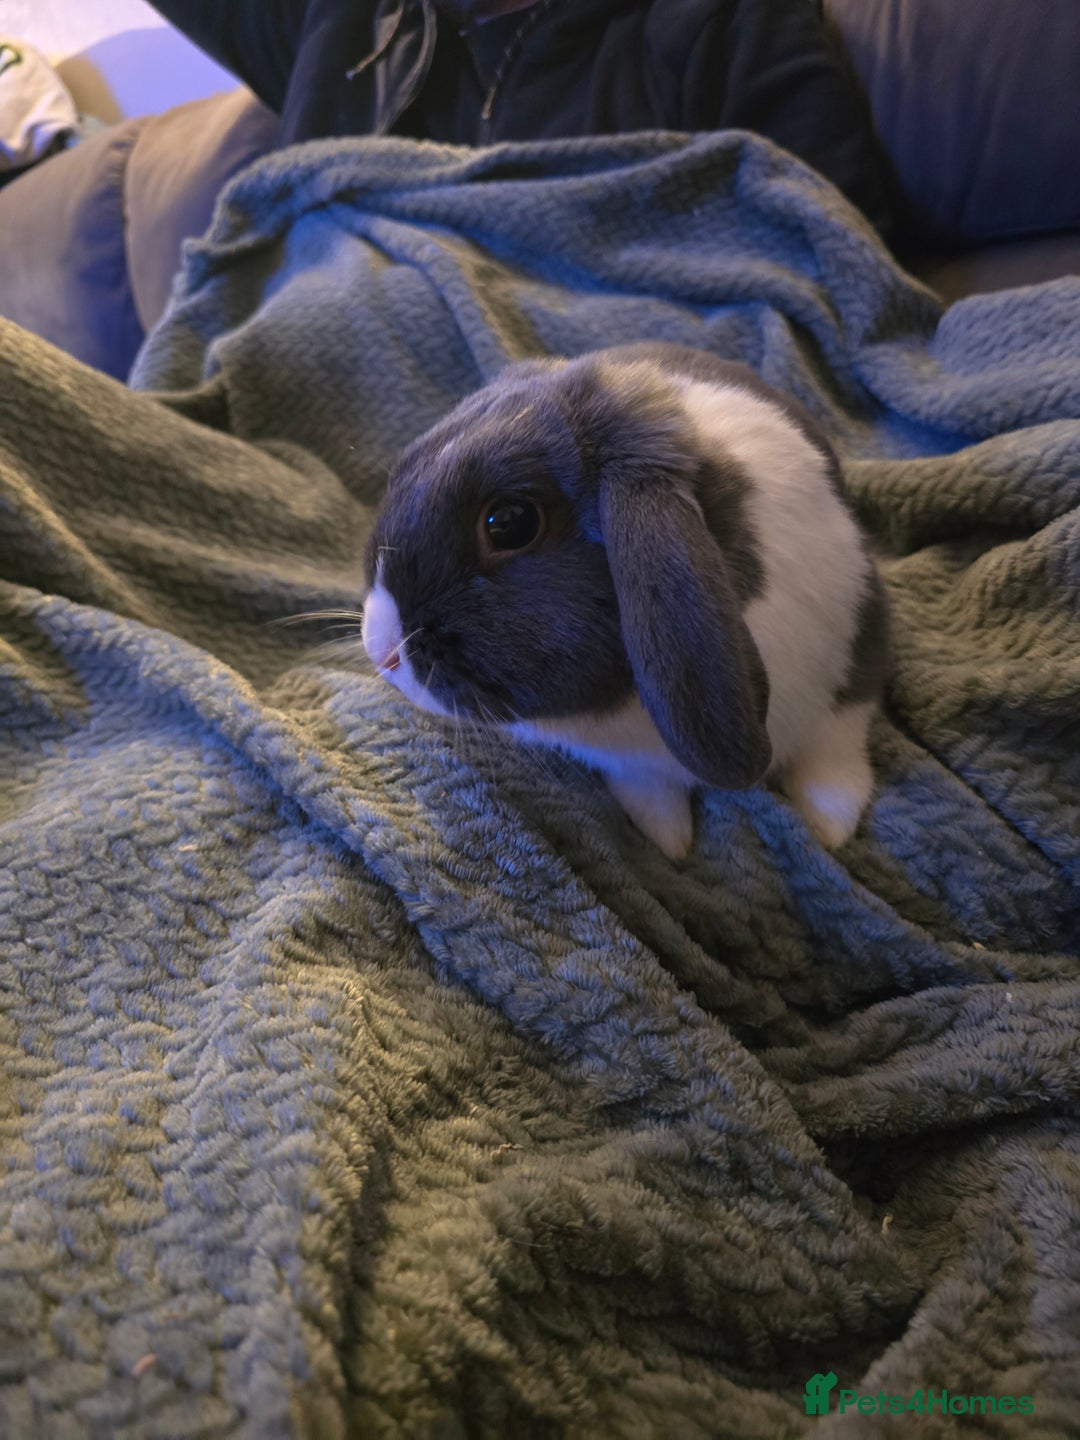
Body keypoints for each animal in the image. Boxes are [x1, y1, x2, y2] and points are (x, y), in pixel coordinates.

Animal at [361, 342, 889, 859]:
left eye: (509, 522)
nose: (381, 652)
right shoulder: (630, 762)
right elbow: (649, 791)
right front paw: (669, 840)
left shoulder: (856, 649)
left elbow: (837, 744)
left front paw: (829, 823)